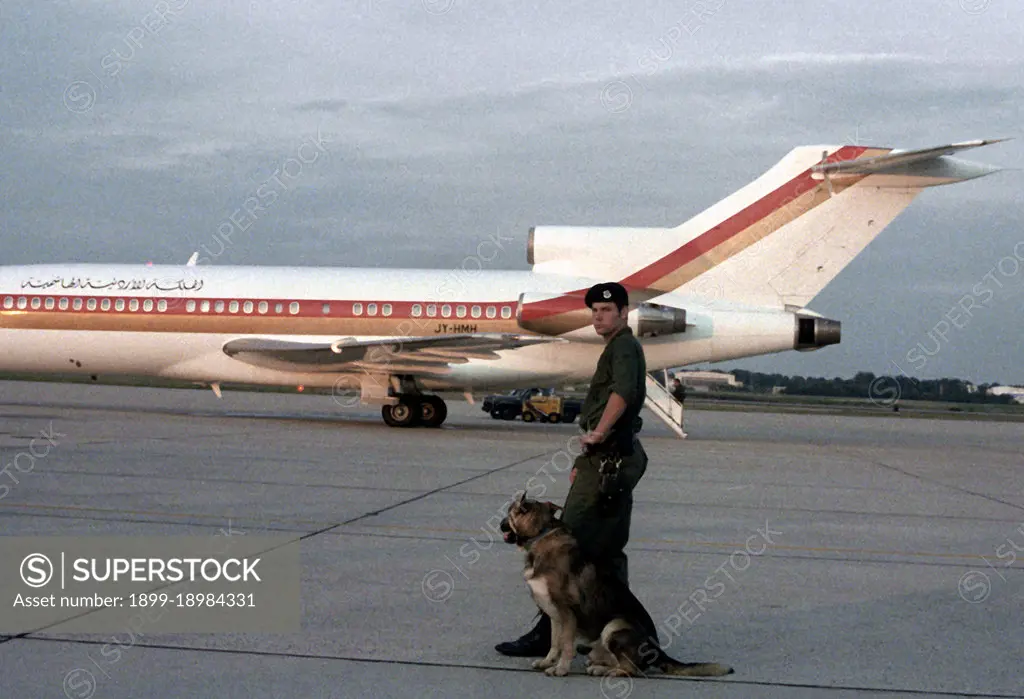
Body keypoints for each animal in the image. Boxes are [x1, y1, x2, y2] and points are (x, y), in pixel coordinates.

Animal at [497, 491, 733, 679]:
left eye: (509, 514)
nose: (499, 524)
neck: (541, 534)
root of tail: (658, 651)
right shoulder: (554, 615)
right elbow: (555, 643)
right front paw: (548, 662)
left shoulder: (567, 613)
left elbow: (565, 645)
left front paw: (561, 669)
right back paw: (598, 664)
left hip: (614, 626)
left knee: (633, 670)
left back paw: (605, 670)